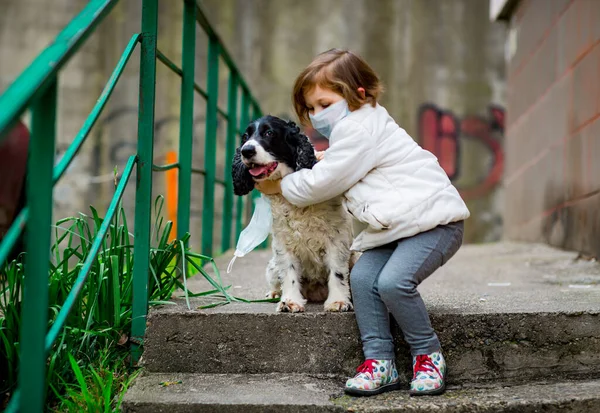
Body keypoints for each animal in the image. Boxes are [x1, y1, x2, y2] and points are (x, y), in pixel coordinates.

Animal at [232, 116, 354, 312]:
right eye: (245, 136)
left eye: (269, 133)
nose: (246, 150)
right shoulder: (283, 242)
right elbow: (289, 273)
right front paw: (290, 302)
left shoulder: (336, 240)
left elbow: (337, 272)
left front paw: (338, 301)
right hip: (272, 266)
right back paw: (274, 294)